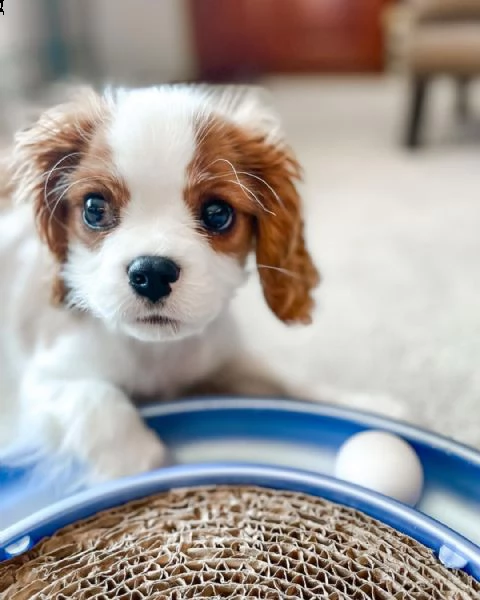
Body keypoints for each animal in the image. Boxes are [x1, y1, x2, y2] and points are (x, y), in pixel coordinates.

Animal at [0, 84, 404, 482]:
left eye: (217, 213)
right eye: (94, 208)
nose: (153, 273)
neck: (157, 351)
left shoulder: (226, 358)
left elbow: (289, 380)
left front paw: (366, 404)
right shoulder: (45, 381)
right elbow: (97, 401)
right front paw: (143, 465)